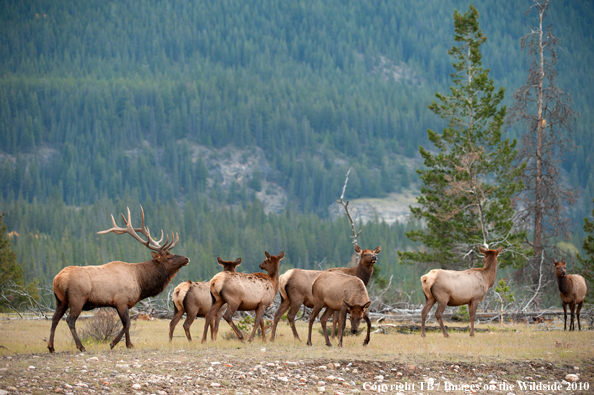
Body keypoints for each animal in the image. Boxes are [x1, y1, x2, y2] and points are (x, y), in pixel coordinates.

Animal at [47, 206, 188, 354]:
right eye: (169, 257)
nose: (186, 258)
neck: (141, 281)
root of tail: (57, 279)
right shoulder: (121, 301)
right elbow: (127, 323)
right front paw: (114, 343)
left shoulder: (123, 304)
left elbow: (126, 323)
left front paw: (129, 344)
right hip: (77, 299)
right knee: (70, 320)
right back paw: (81, 346)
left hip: (60, 300)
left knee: (54, 319)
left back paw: (51, 347)